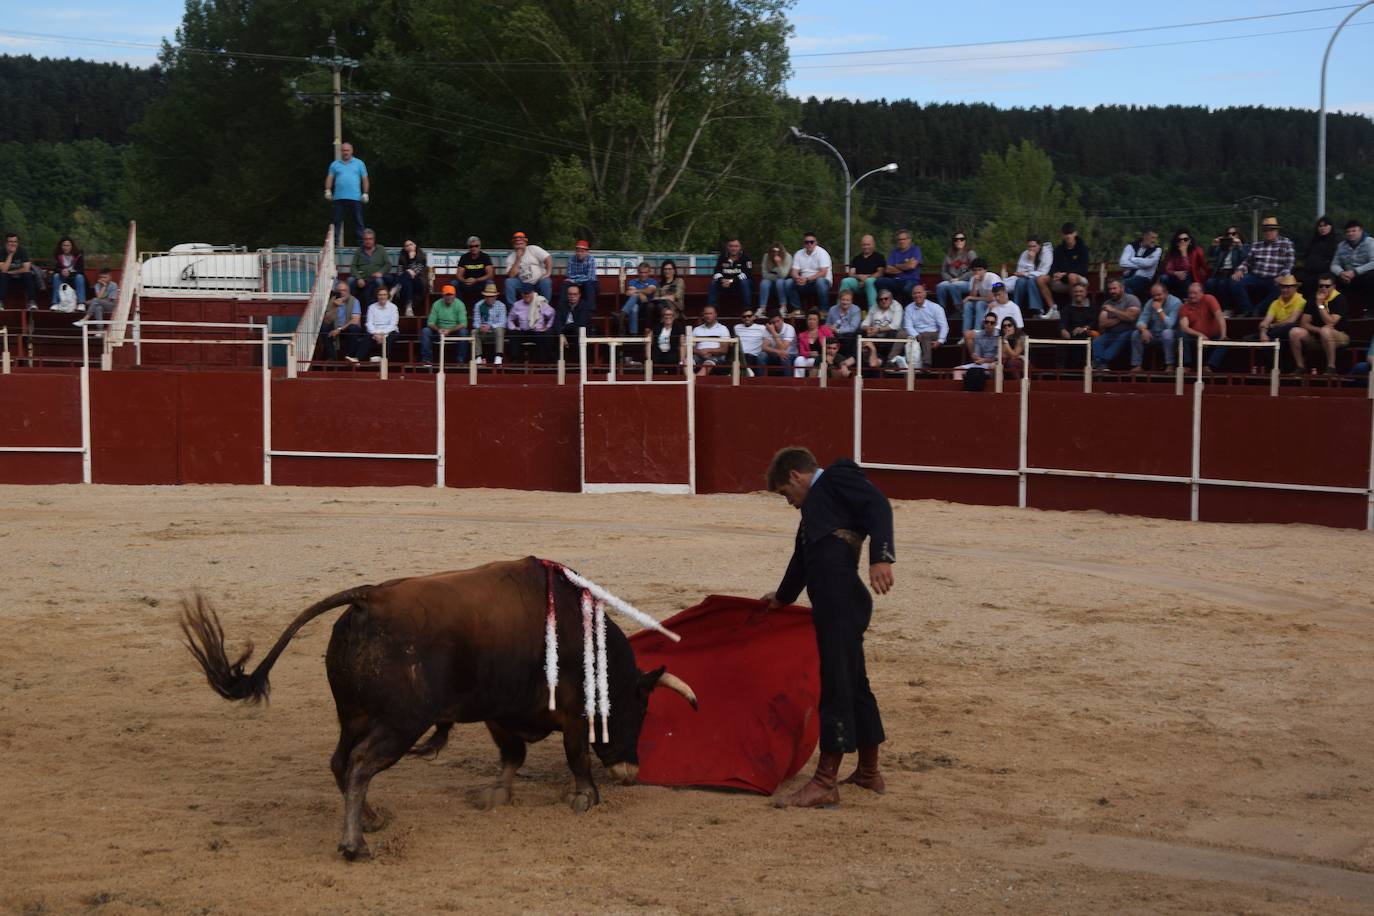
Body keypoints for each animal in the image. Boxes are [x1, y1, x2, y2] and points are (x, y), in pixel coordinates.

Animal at [179, 554, 697, 862]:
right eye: (638, 712)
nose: (631, 771)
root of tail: (368, 598)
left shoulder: (498, 710)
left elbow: (513, 755)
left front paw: (497, 795)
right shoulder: (569, 714)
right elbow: (575, 757)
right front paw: (586, 798)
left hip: (354, 717)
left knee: (341, 762)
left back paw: (370, 819)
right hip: (399, 724)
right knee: (360, 764)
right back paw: (355, 844)